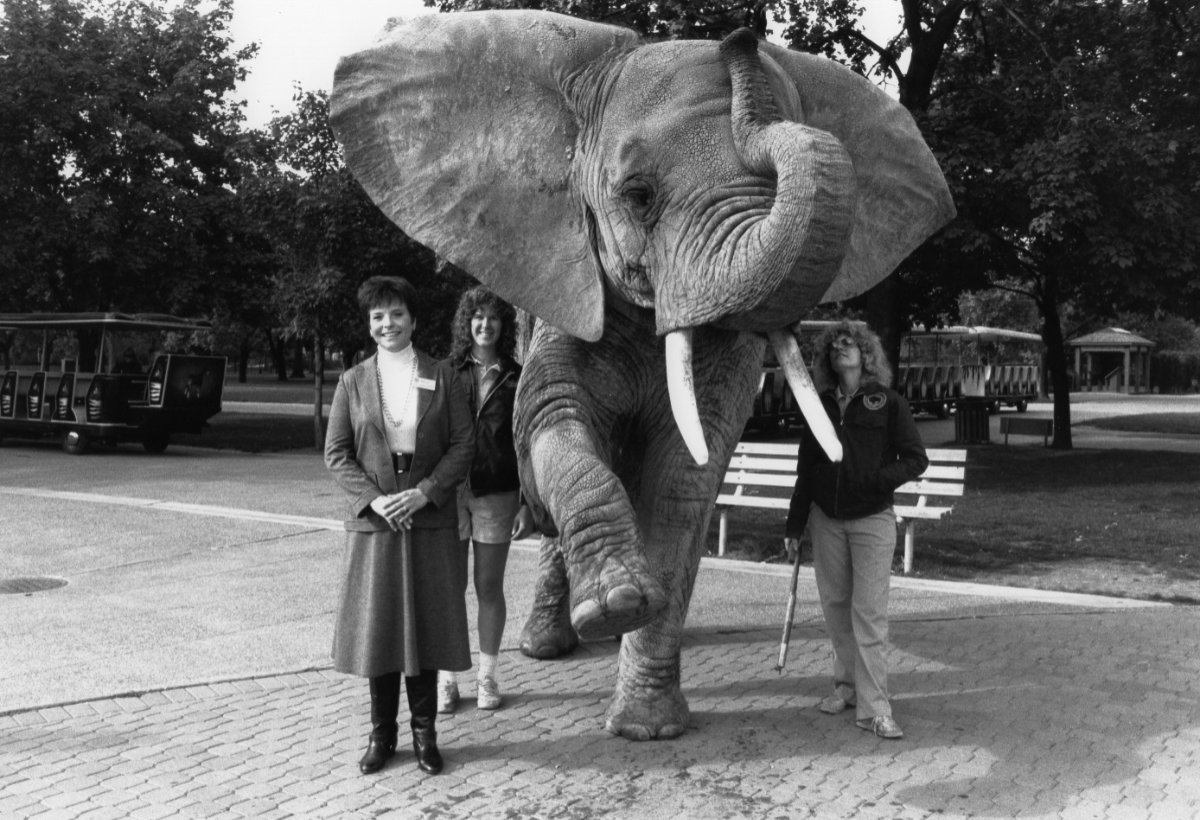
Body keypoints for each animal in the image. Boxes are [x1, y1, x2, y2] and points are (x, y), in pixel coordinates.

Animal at [331, 9, 955, 739]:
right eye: (638, 196)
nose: (742, 37)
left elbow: (685, 480)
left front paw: (647, 726)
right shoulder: (568, 293)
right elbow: (548, 420)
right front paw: (619, 604)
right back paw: (549, 643)